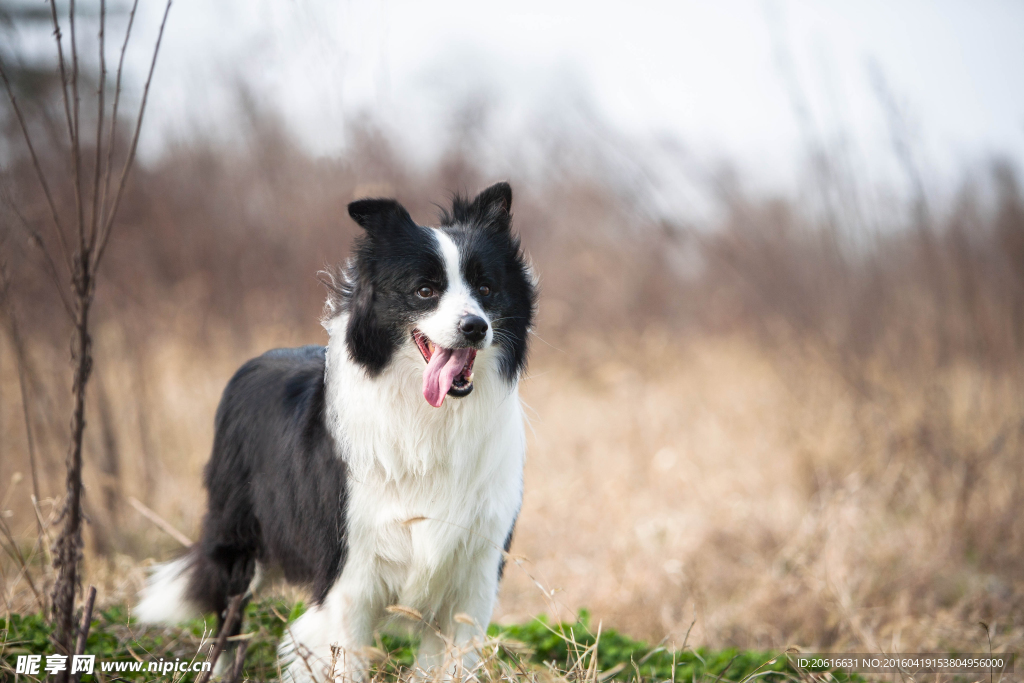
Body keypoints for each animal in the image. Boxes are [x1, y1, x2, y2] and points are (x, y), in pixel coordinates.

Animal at [136, 184, 536, 679]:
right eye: (425, 290)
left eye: (485, 288)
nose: (475, 327)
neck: (430, 420)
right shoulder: (350, 578)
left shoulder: (473, 583)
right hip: (237, 541)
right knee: (229, 616)